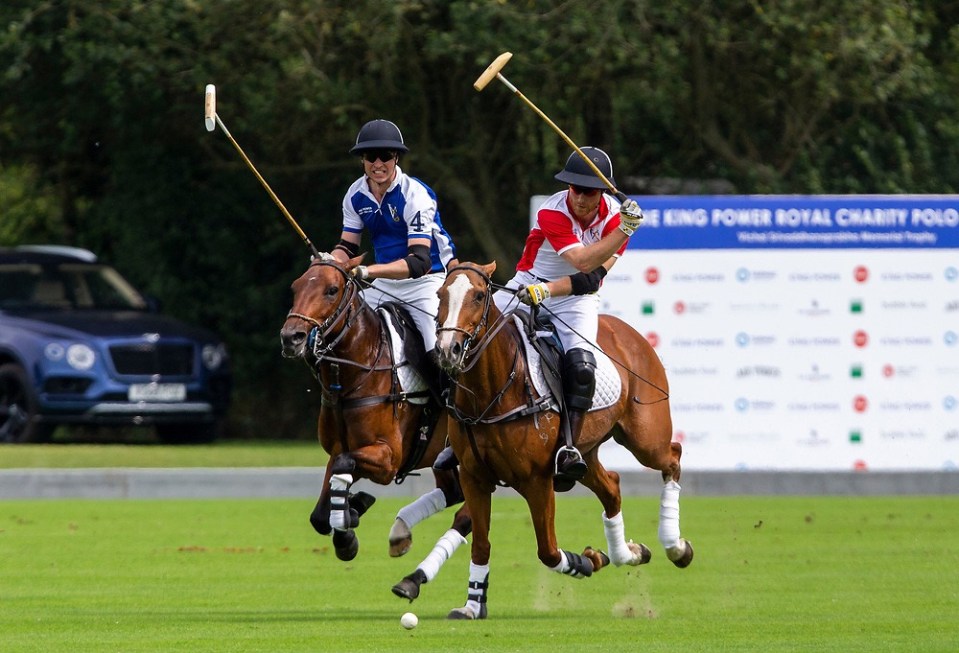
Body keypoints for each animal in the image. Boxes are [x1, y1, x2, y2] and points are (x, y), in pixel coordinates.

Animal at [280, 252, 470, 568]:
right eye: (295, 287)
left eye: (332, 290)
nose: (290, 337)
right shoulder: (341, 448)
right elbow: (321, 510)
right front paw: (348, 520)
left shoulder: (388, 458)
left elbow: (344, 467)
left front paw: (351, 517)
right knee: (453, 491)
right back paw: (400, 533)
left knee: (466, 512)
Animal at [436, 262, 696, 620]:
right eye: (440, 294)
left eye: (477, 295)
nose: (448, 350)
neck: (492, 392)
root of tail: (629, 332)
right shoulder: (474, 476)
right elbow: (481, 544)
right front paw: (473, 605)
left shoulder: (537, 480)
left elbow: (547, 550)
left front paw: (587, 561)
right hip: (585, 453)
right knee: (612, 486)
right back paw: (629, 553)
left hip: (646, 438)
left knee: (673, 456)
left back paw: (675, 546)